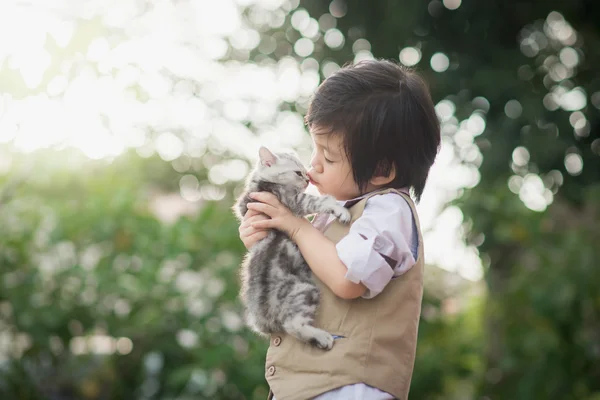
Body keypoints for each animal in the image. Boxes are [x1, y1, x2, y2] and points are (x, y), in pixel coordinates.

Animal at [234, 147, 352, 350]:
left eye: (305, 172)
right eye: (298, 173)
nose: (307, 180)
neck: (260, 182)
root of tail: (266, 316)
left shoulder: (245, 204)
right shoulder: (292, 199)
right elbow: (319, 201)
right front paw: (339, 209)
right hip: (305, 290)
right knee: (293, 325)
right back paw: (322, 337)